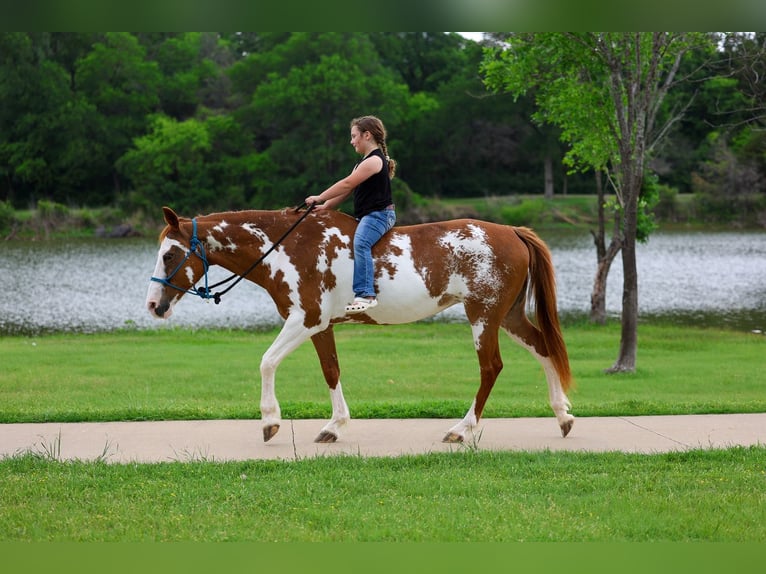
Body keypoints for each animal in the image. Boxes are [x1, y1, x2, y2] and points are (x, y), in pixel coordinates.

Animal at [146, 206, 574, 444]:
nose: (153, 305)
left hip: (483, 316)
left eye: (169, 255)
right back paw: (563, 416)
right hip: (509, 315)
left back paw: (461, 429)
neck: (288, 247)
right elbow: (331, 371)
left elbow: (267, 362)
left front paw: (270, 421)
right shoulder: (320, 326)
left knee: (490, 368)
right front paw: (335, 426)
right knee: (543, 349)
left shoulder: (305, 319)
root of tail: (512, 231)